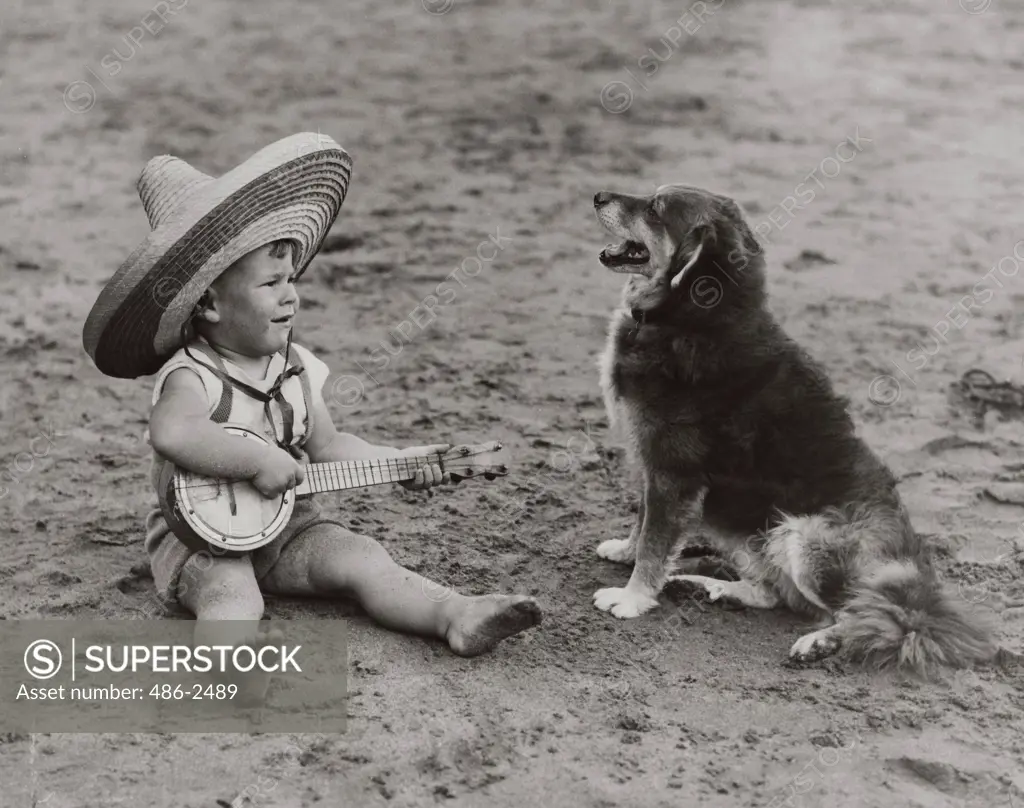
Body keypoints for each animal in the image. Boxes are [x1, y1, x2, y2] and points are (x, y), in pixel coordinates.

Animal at [589, 186, 995, 671]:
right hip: (757, 533)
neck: (687, 314)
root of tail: (917, 580)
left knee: (865, 615)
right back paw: (715, 587)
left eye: (656, 208)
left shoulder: (673, 473)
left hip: (804, 537)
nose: (597, 196)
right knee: (777, 595)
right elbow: (643, 522)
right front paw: (625, 551)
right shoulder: (651, 464)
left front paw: (631, 598)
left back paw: (820, 641)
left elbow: (655, 542)